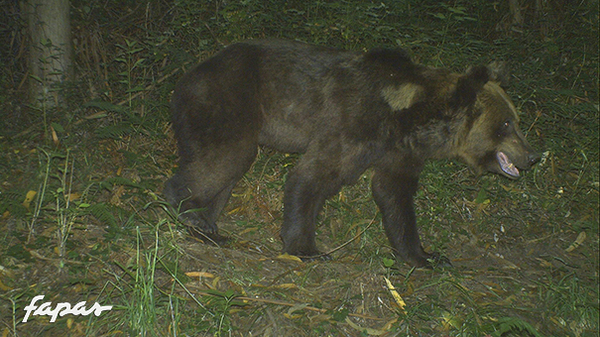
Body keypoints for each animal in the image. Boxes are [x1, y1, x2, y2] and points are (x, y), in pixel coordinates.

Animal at [163, 39, 540, 266]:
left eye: (517, 120)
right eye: (507, 124)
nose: (533, 155)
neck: (407, 118)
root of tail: (185, 78)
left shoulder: (398, 152)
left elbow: (395, 197)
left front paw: (425, 255)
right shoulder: (353, 123)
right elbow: (313, 176)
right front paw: (307, 249)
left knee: (223, 175)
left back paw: (209, 228)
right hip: (228, 101)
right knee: (225, 159)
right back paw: (188, 210)